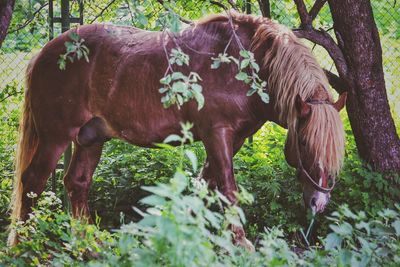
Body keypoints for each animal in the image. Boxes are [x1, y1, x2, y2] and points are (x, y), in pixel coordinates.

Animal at [8, 11, 346, 248]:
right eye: (304, 142)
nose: (318, 203)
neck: (244, 65)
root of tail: (43, 53)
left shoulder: (233, 140)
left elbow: (204, 187)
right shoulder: (217, 134)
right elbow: (228, 190)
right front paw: (240, 243)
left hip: (91, 138)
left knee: (77, 183)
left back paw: (90, 245)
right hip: (56, 137)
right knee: (34, 181)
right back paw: (26, 244)